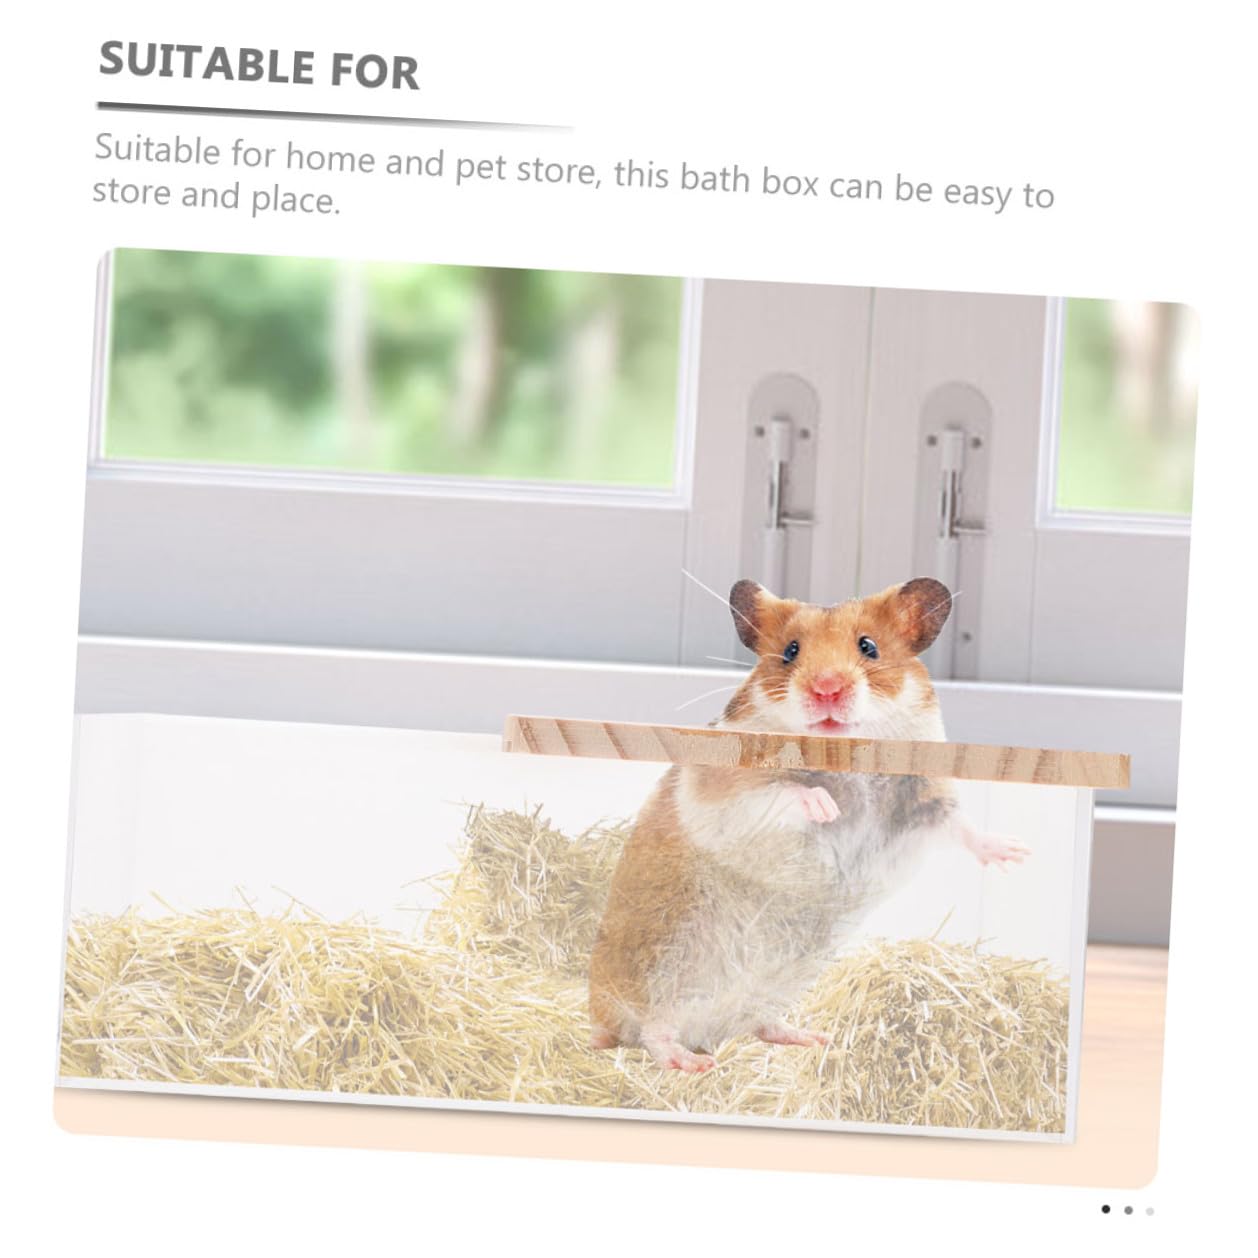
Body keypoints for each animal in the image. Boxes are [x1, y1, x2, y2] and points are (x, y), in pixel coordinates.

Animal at [587, 576, 1029, 1072]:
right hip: (662, 971)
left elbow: (960, 824)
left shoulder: (924, 795)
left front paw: (1015, 854)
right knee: (652, 1032)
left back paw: (811, 1038)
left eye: (869, 646)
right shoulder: (726, 786)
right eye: (790, 651)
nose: (827, 689)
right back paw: (693, 1063)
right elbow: (781, 792)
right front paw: (826, 806)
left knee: (758, 1023)